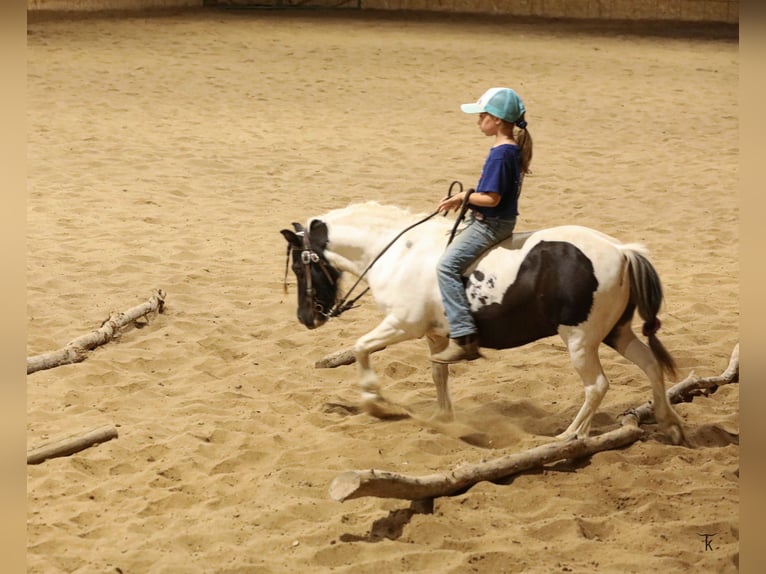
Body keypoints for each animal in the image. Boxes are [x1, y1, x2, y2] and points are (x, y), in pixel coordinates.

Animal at [280, 201, 684, 445]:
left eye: (300, 267)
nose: (306, 318)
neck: (398, 253)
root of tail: (621, 251)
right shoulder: (435, 335)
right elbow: (438, 372)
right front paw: (443, 418)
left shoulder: (402, 325)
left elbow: (362, 348)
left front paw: (375, 402)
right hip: (617, 332)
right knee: (650, 365)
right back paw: (670, 423)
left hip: (580, 340)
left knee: (596, 386)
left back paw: (568, 436)